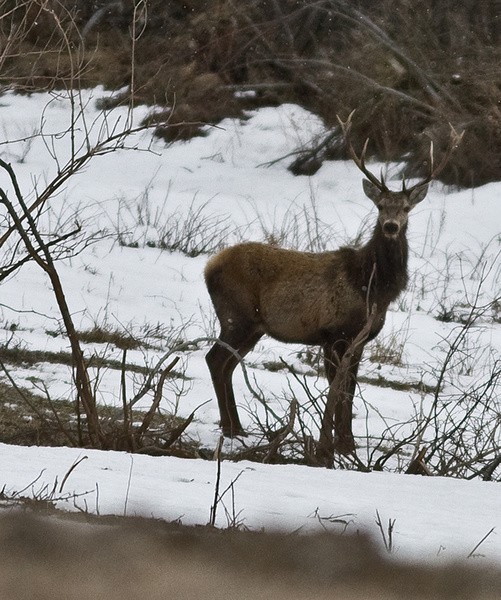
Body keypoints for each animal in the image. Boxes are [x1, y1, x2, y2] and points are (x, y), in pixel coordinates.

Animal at [203, 116, 460, 454]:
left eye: (406, 208)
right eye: (380, 206)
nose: (391, 227)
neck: (371, 288)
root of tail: (208, 267)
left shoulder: (359, 340)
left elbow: (349, 389)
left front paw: (347, 444)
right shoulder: (332, 333)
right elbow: (338, 389)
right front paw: (334, 444)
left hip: (253, 326)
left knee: (228, 365)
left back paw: (236, 428)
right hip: (237, 315)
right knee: (215, 360)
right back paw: (232, 429)